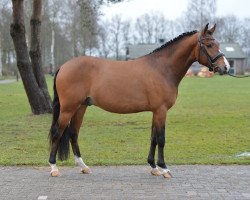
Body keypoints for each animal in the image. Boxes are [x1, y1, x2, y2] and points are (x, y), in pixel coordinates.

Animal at [47, 23, 229, 178]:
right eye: (209, 45)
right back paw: (54, 168)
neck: (162, 69)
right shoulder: (161, 110)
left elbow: (153, 138)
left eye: (217, 43)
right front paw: (164, 168)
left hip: (81, 107)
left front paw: (154, 167)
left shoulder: (156, 111)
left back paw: (83, 167)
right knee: (57, 132)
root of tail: (63, 66)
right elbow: (161, 139)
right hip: (68, 108)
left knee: (73, 134)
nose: (225, 67)